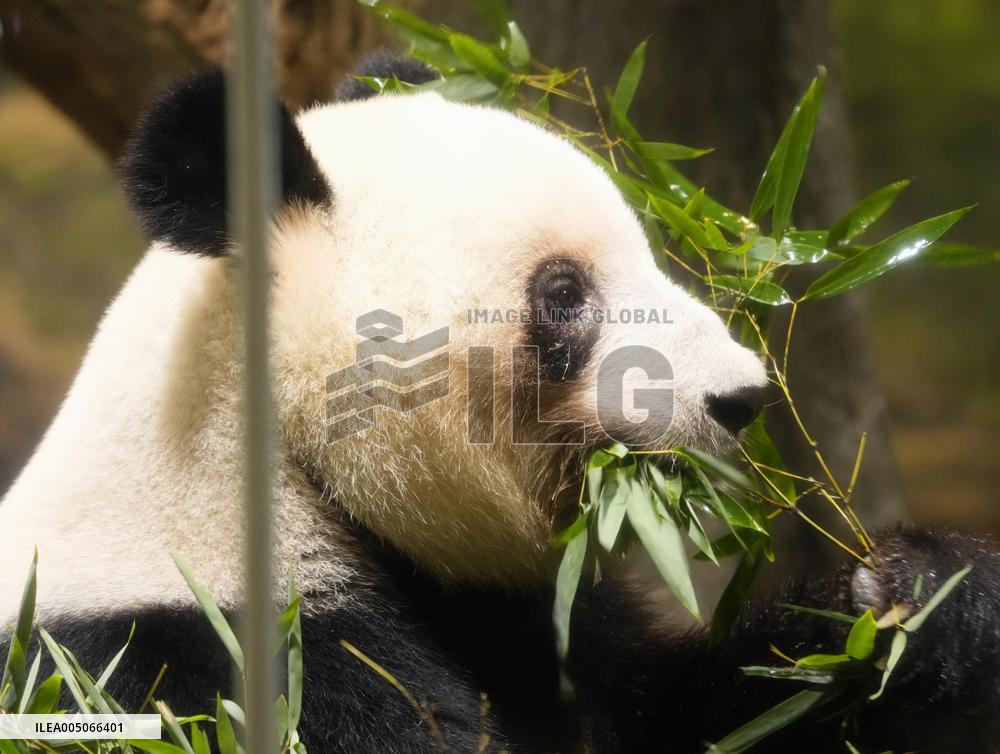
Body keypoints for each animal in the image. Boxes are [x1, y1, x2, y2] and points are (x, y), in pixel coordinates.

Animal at [1, 54, 998, 753]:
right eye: (564, 293)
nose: (741, 396)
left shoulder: (537, 619)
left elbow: (697, 708)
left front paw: (917, 599)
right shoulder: (202, 653)